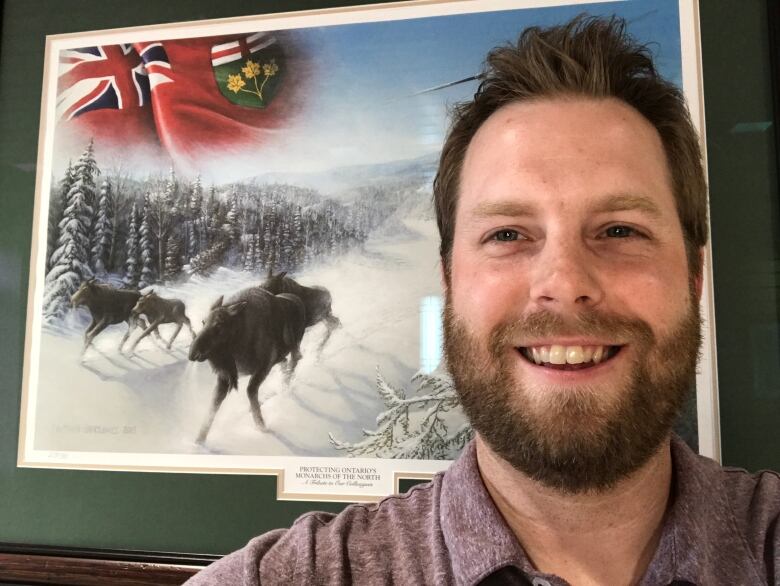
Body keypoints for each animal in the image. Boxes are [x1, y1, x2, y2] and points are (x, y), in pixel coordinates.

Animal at [189, 286, 308, 442]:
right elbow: (212, 407)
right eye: (203, 322)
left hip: (294, 347)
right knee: (285, 363)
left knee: (293, 363)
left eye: (219, 326)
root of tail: (299, 300)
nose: (193, 354)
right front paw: (198, 440)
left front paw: (261, 425)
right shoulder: (225, 376)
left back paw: (285, 389)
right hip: (280, 357)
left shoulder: (264, 366)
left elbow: (250, 391)